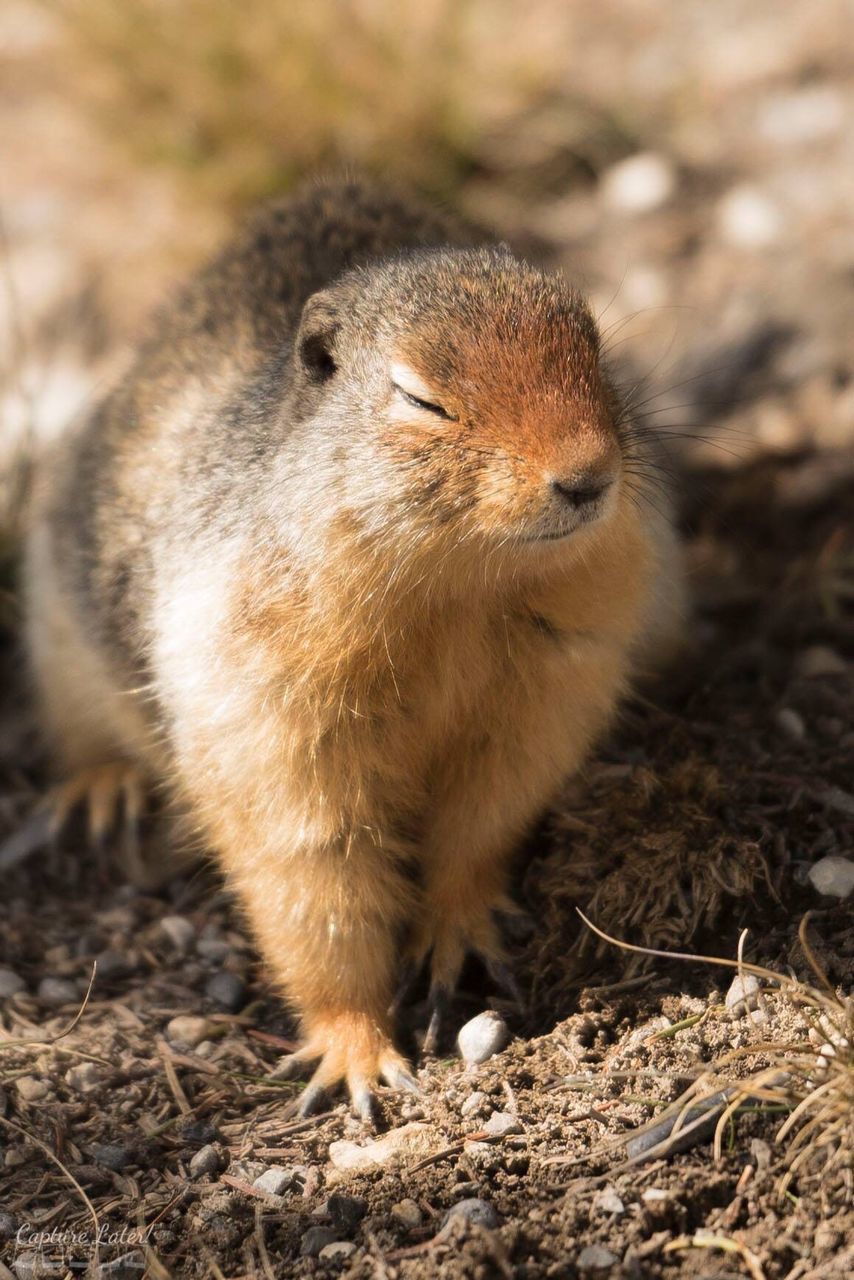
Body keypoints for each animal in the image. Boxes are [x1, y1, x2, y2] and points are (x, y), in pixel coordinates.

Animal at [21, 172, 686, 1121]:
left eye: (595, 353)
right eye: (421, 399)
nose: (589, 476)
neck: (455, 591)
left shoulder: (551, 688)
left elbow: (486, 819)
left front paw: (457, 933)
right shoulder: (268, 715)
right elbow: (312, 879)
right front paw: (359, 1058)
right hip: (56, 632)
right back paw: (100, 791)